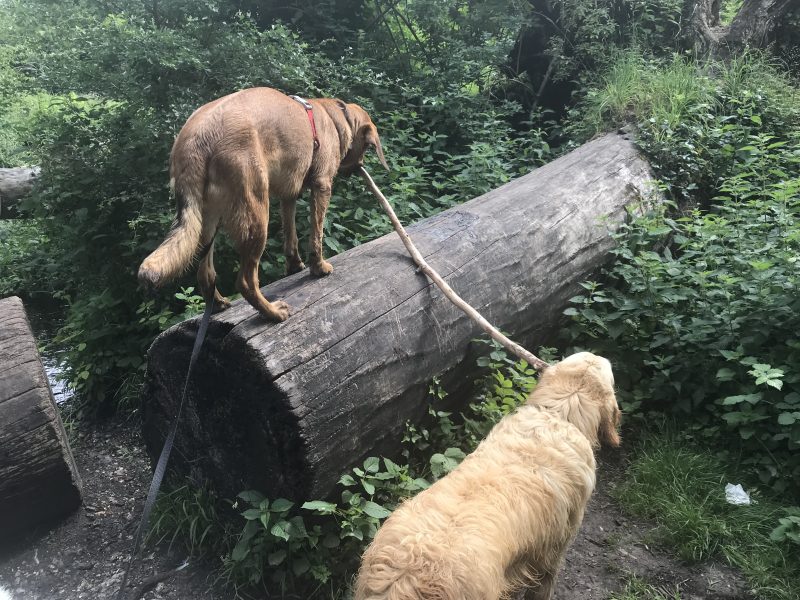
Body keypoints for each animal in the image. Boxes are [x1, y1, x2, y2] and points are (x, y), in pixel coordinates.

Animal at [138, 86, 388, 322]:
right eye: (367, 147)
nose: (359, 167)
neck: (335, 117)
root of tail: (196, 138)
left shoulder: (288, 195)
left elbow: (291, 238)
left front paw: (295, 266)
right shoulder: (322, 186)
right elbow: (316, 236)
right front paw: (318, 268)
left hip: (208, 221)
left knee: (205, 275)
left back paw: (219, 304)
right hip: (256, 216)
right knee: (246, 281)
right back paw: (273, 313)